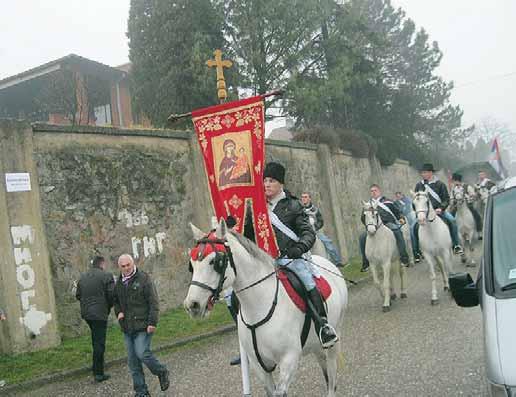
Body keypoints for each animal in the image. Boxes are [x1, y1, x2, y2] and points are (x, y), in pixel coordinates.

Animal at [183, 220, 348, 396]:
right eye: (191, 264)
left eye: (215, 261)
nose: (192, 304)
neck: (259, 306)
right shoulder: (259, 367)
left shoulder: (289, 359)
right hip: (316, 345)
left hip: (334, 339)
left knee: (331, 379)